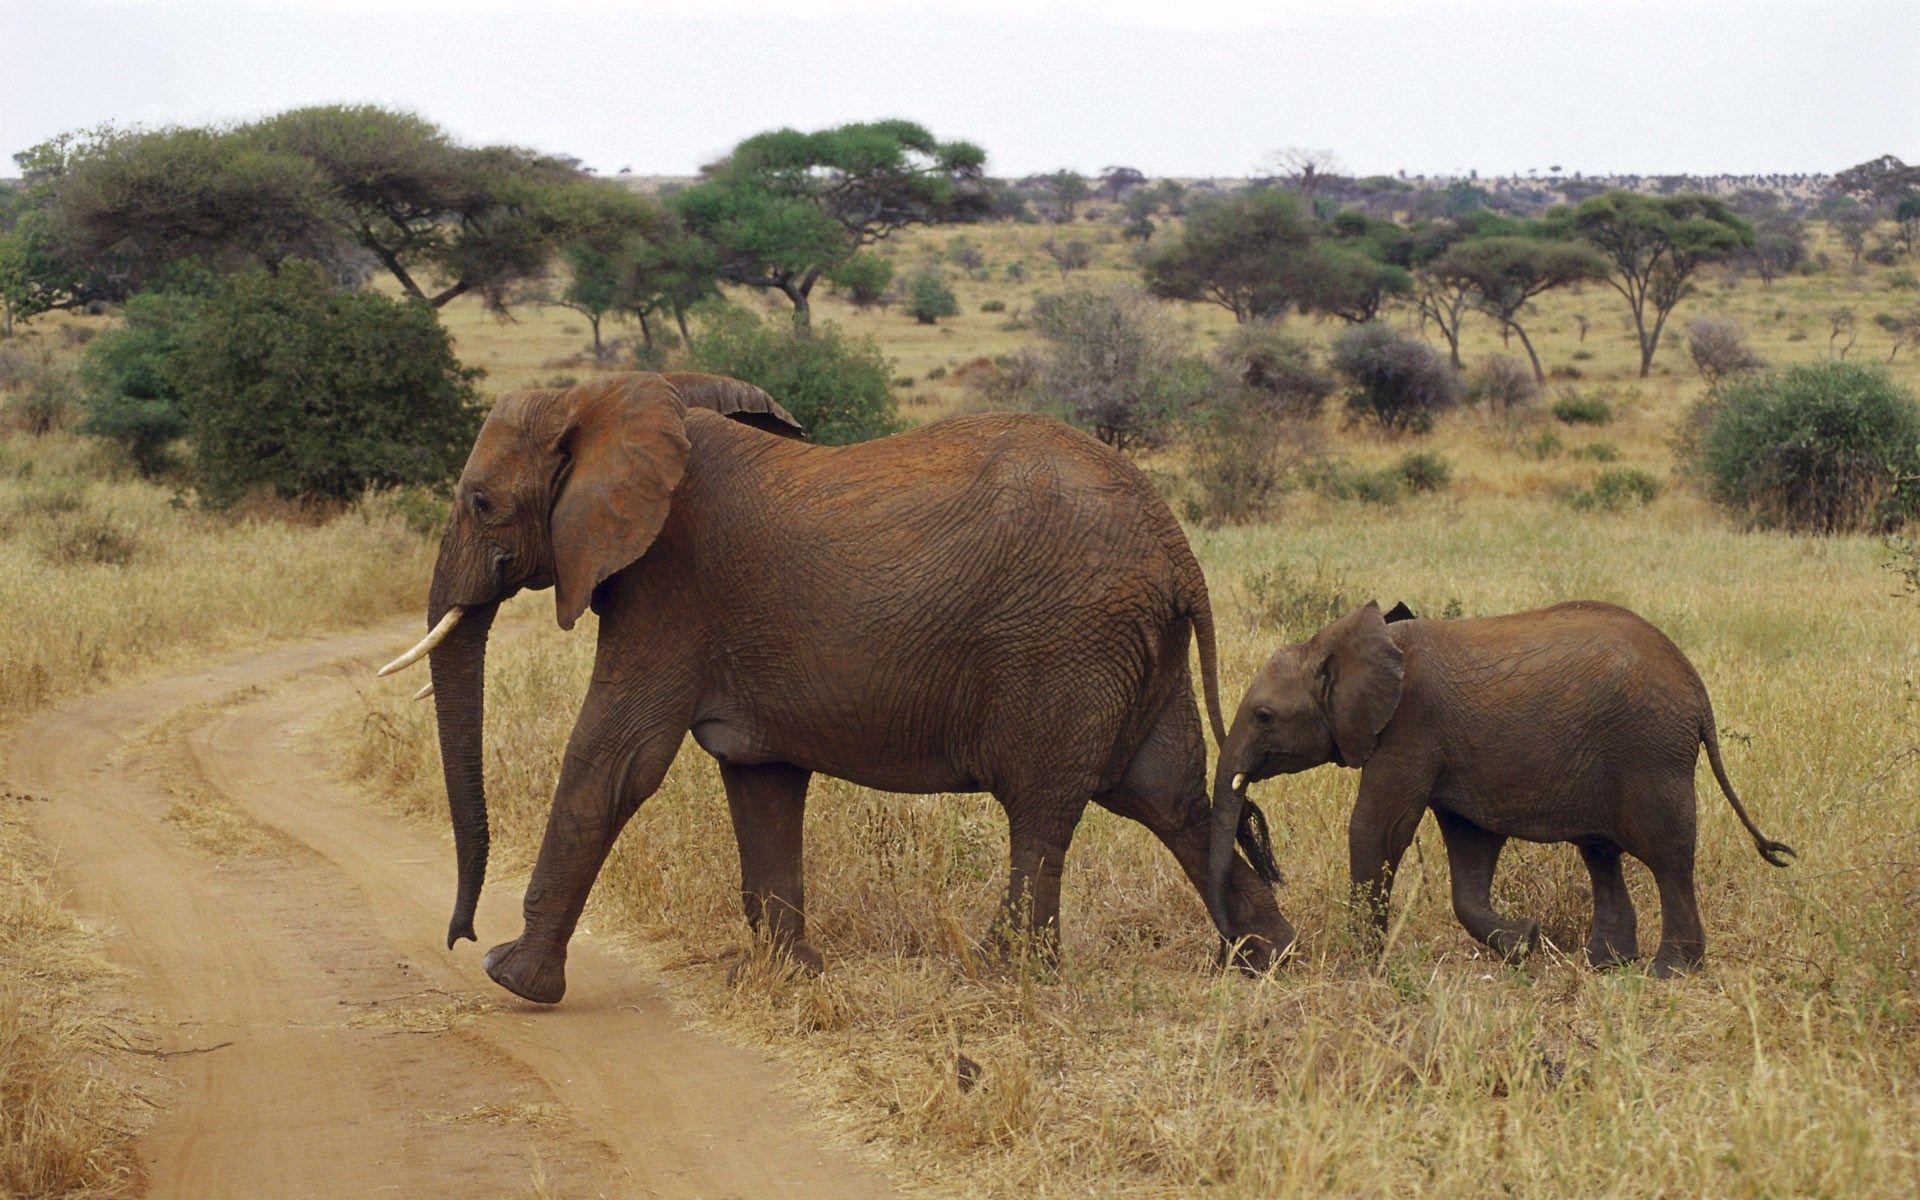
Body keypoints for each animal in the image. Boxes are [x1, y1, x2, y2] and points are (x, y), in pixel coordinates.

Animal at [377, 371, 1293, 1003]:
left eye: (481, 502)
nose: (459, 935)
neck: (609, 394)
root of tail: (1175, 545)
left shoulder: (668, 588)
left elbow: (614, 762)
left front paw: (511, 979)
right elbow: (761, 781)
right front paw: (788, 979)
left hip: (1064, 643)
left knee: (1044, 809)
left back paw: (1002, 977)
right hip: (1134, 647)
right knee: (1168, 796)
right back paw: (1268, 960)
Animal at [1206, 600, 1795, 977]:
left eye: (1263, 716)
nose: (1242, 958)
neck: (1338, 642)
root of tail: (1699, 695)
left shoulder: (1409, 729)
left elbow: (1379, 828)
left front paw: (1360, 968)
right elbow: (1470, 849)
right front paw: (1525, 943)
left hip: (1650, 752)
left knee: (1667, 856)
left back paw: (1669, 973)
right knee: (1601, 852)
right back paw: (1604, 964)